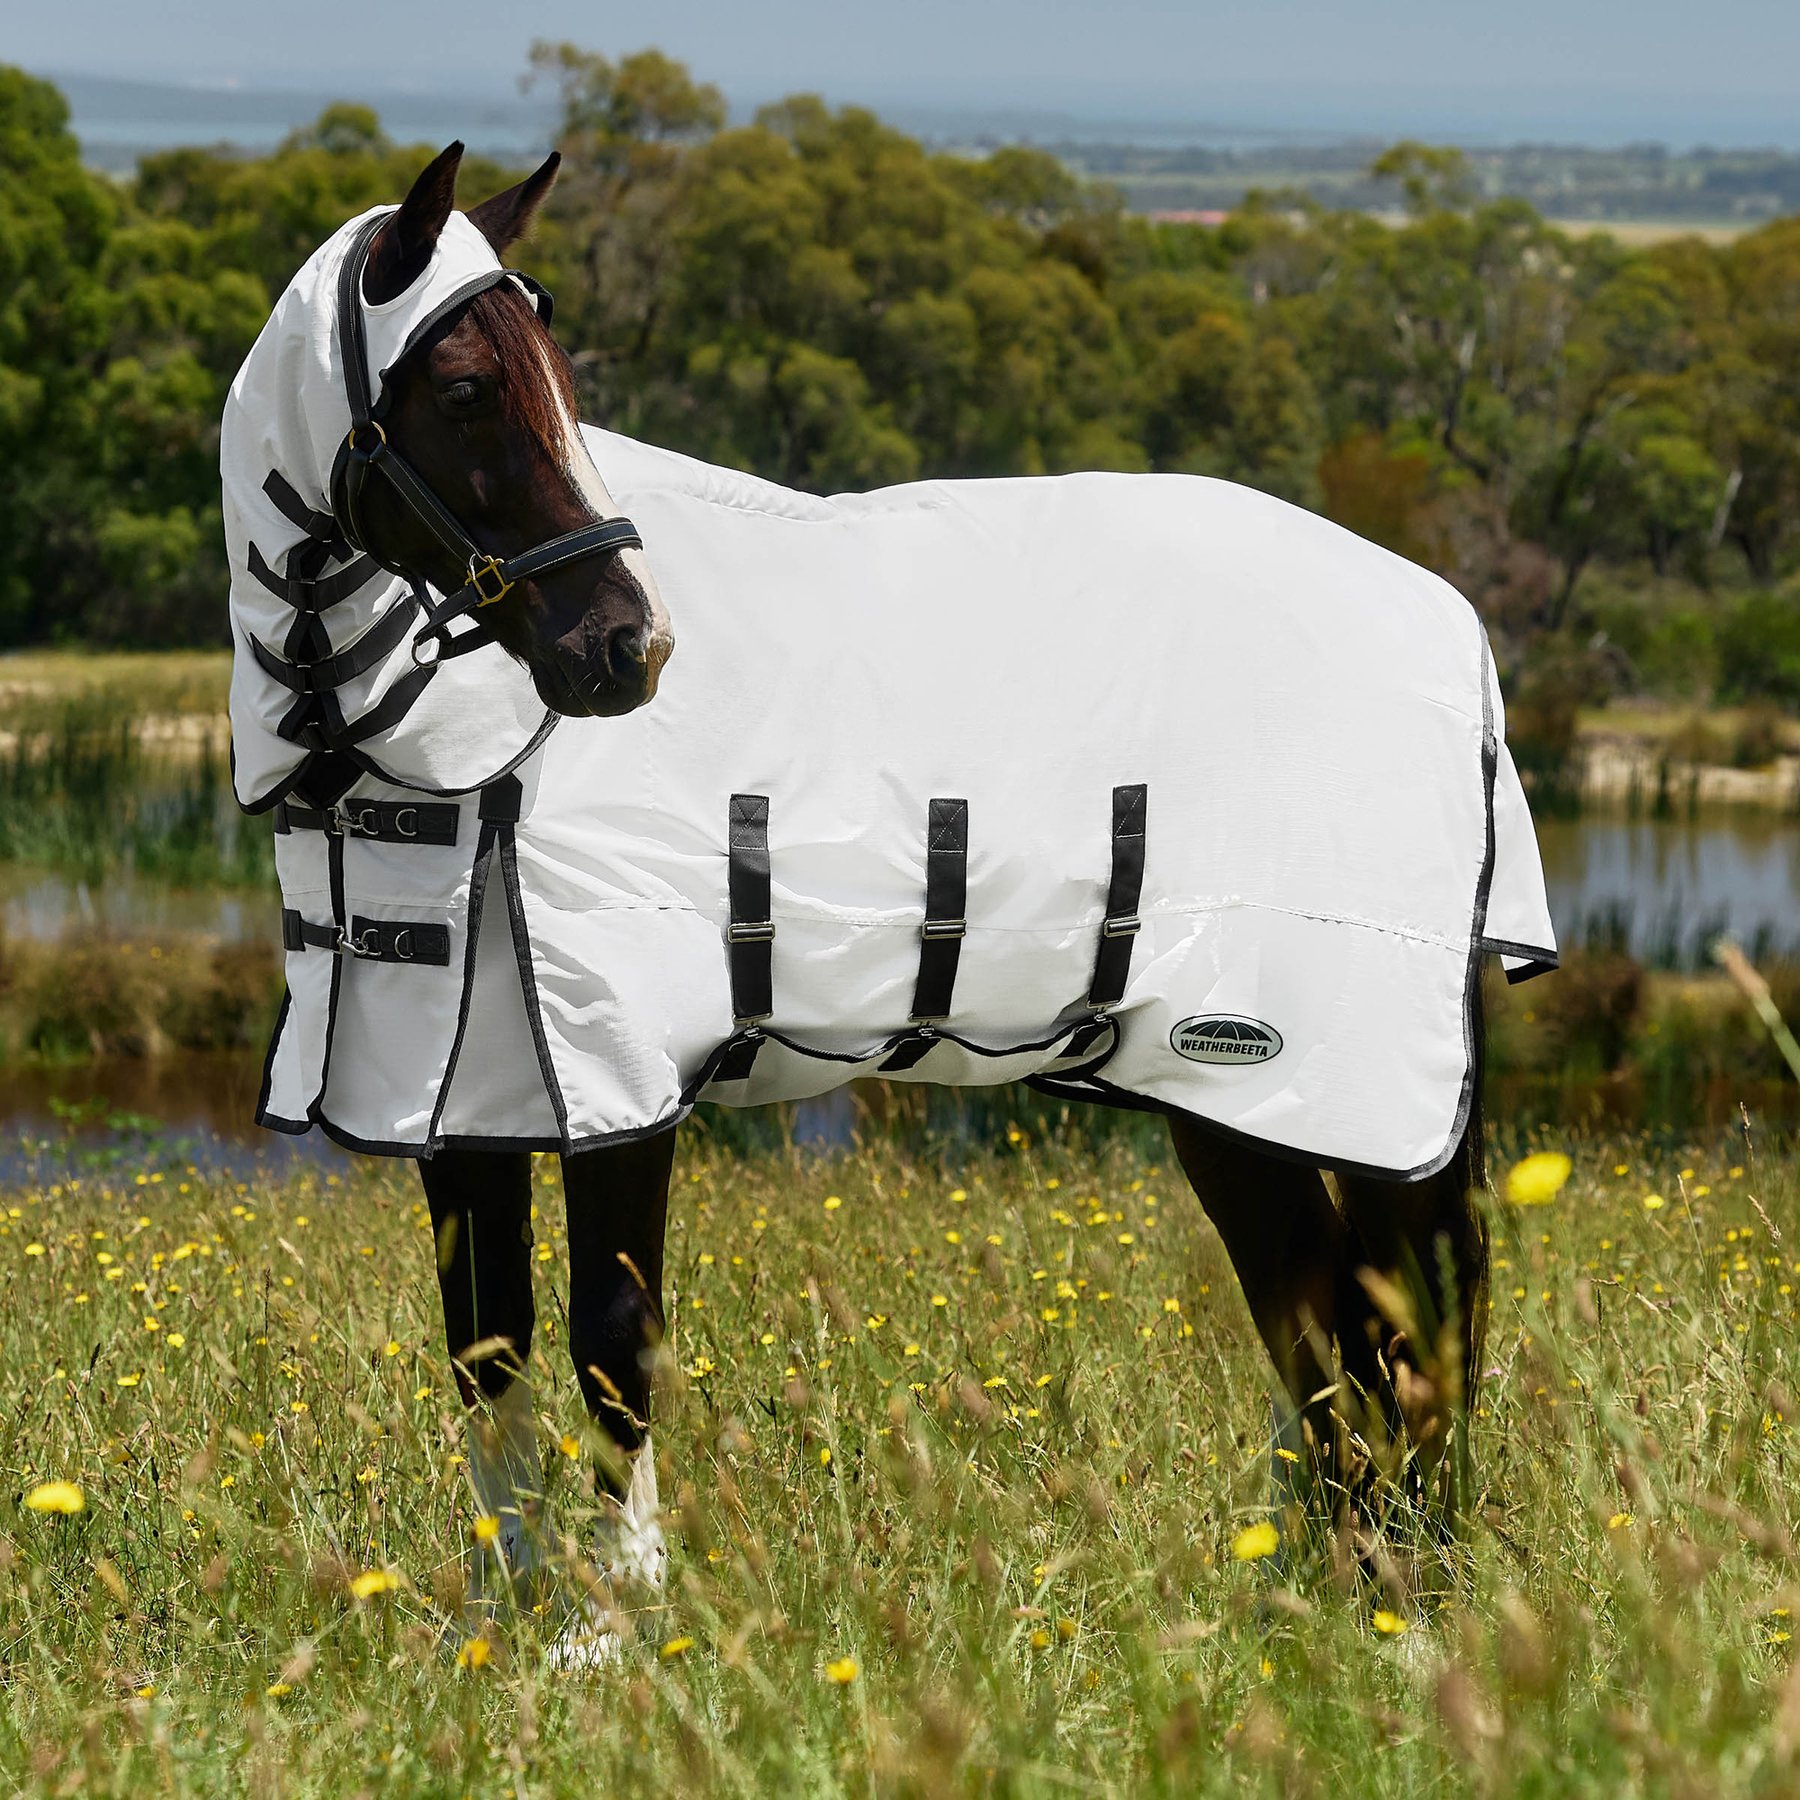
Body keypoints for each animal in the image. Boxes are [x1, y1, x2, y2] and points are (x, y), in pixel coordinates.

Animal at [230, 143, 1535, 1663]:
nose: (628, 650)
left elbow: (613, 1336)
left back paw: (1403, 1601)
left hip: (1329, 1086)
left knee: (1399, 1325)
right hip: (1223, 1098)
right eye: (461, 390)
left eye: (557, 378)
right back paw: (1337, 1584)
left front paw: (620, 1621)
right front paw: (515, 1613)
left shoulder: (622, 1078)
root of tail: (1453, 627)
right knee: (1324, 1317)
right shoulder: (463, 1096)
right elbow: (485, 1346)